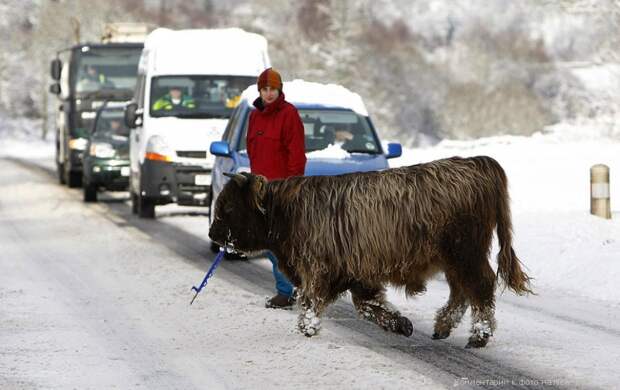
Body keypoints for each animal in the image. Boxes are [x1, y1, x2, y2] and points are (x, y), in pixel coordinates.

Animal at [209, 155, 532, 348]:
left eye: (228, 207)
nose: (213, 233)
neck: (285, 212)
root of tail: (475, 162)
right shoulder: (357, 276)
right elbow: (369, 306)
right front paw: (402, 324)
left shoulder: (318, 271)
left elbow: (313, 303)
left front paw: (308, 329)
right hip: (452, 259)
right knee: (461, 292)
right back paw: (441, 327)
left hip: (465, 253)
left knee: (480, 287)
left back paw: (479, 336)